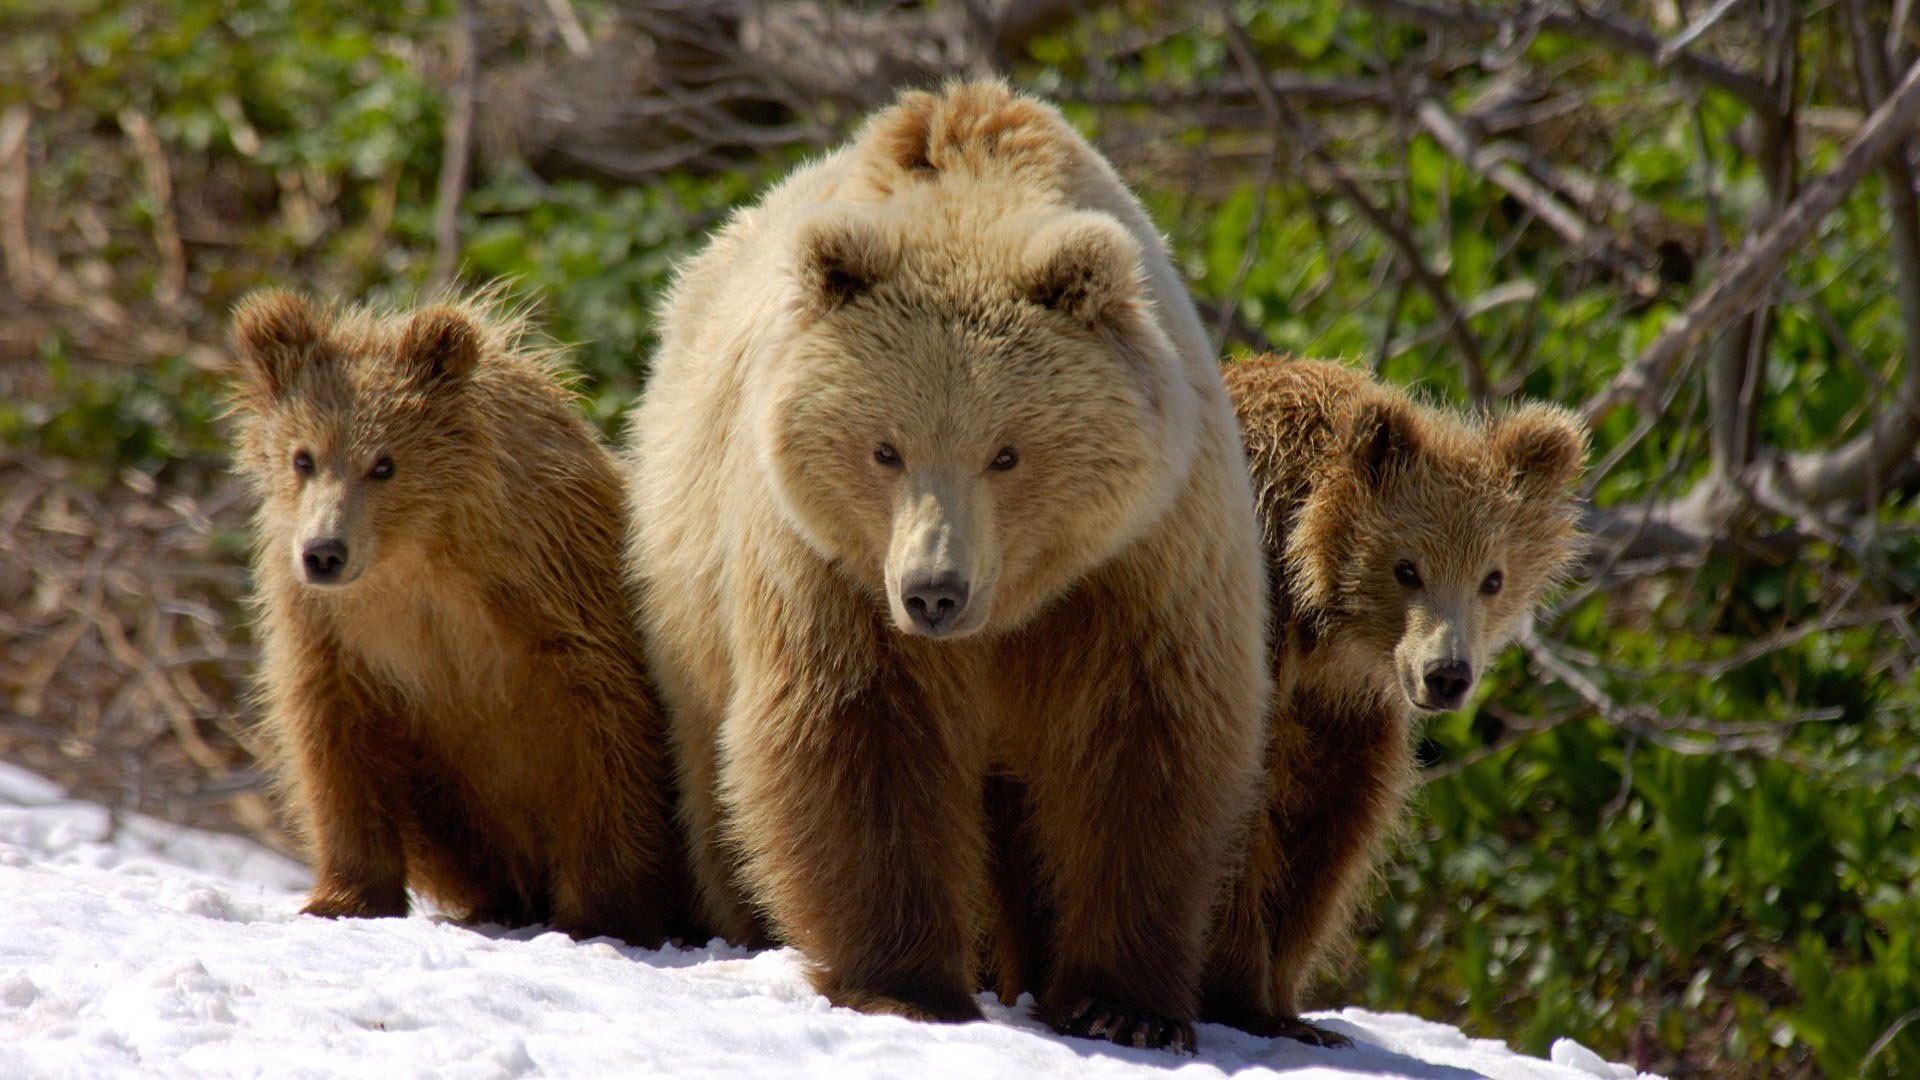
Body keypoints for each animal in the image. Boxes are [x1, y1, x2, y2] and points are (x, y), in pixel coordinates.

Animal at [232, 284, 687, 941]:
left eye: (384, 463)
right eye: (303, 457)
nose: (324, 552)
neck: (418, 557)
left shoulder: (558, 601)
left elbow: (607, 740)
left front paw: (602, 914)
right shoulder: (334, 632)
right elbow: (333, 742)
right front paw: (344, 897)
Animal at [622, 77, 1267, 1053]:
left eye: (1007, 453)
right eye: (885, 448)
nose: (934, 591)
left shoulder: (1139, 564)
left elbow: (1143, 750)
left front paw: (1124, 1006)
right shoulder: (830, 569)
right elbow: (859, 737)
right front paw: (906, 985)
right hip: (691, 592)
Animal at [1198, 355, 1589, 1045]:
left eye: (1492, 578)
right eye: (1407, 568)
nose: (1447, 674)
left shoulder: (1343, 713)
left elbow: (1329, 829)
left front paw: (1290, 1004)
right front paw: (1243, 999)